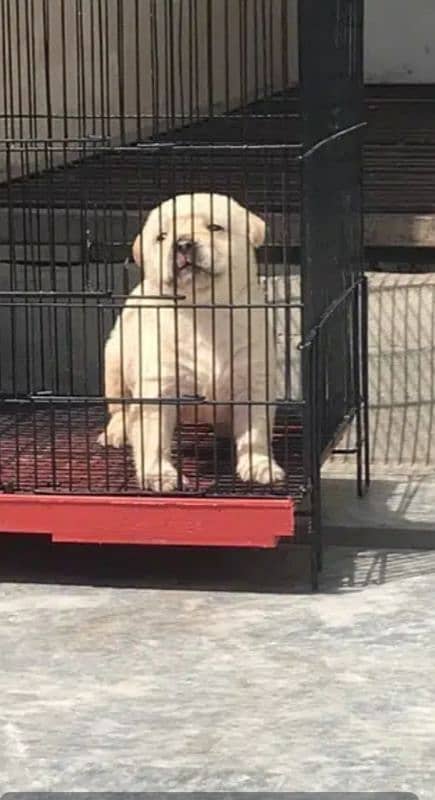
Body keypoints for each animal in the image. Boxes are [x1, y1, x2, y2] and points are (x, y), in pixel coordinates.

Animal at [97, 195, 284, 494]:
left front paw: (259, 466)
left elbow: (254, 432)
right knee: (120, 407)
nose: (183, 243)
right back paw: (116, 431)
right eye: (161, 237)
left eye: (215, 227)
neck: (204, 310)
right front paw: (159, 475)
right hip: (114, 359)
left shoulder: (253, 379)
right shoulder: (159, 386)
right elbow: (153, 437)